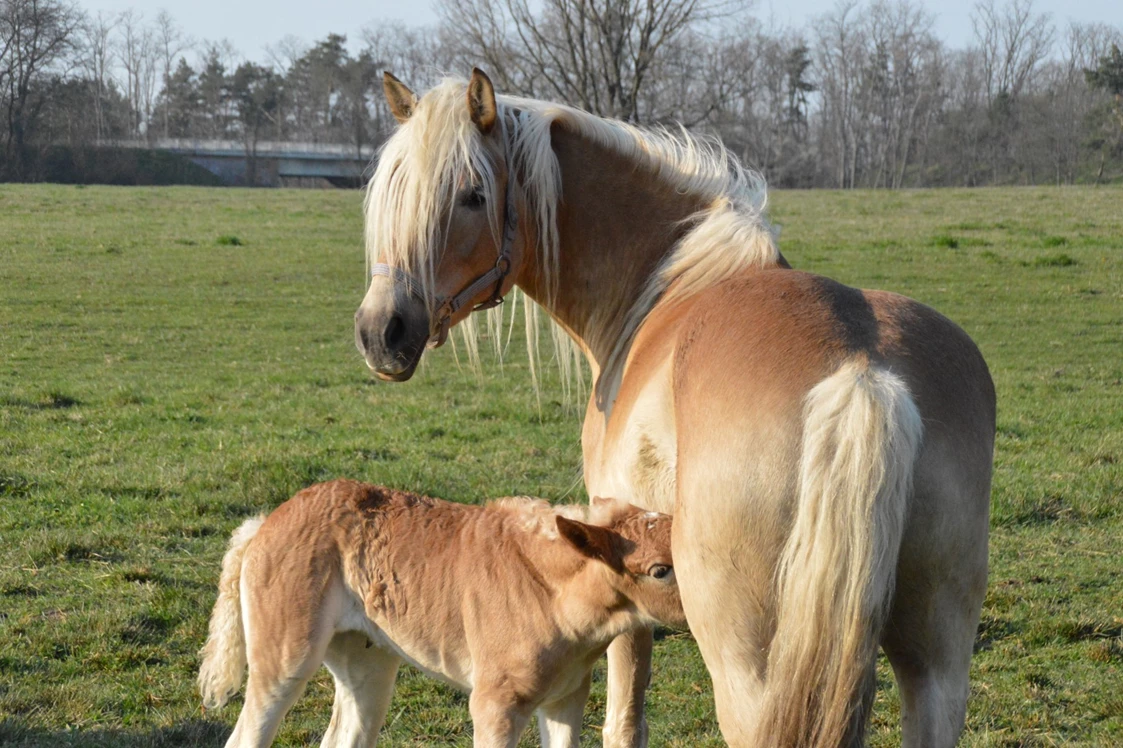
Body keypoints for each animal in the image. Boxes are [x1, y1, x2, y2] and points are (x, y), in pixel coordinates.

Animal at [199, 478, 682, 745]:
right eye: (661, 570)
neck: (550, 592)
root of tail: (265, 522)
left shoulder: (566, 698)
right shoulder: (494, 705)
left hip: (367, 661)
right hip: (286, 658)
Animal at [354, 69, 997, 745]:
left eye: (474, 195)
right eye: (392, 192)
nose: (381, 332)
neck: (667, 282)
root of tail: (863, 373)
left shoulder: (623, 571)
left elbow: (623, 719)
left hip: (747, 672)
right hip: (936, 666)